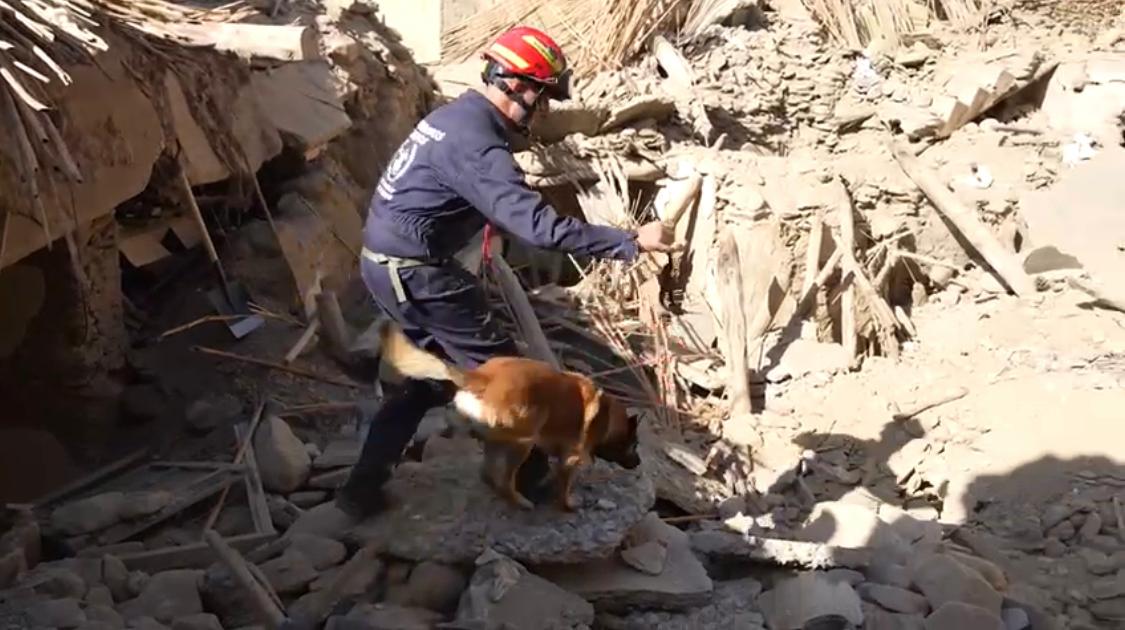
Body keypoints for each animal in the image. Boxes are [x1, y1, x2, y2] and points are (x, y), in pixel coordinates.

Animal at [380, 321, 639, 508]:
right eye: (634, 445)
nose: (638, 463)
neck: (608, 419)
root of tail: (483, 377)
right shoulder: (570, 459)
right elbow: (564, 486)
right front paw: (567, 504)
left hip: (488, 434)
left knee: (483, 471)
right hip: (523, 441)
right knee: (503, 480)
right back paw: (520, 502)